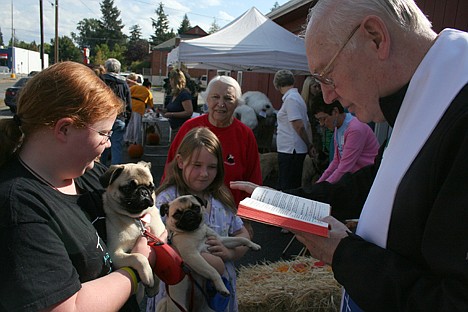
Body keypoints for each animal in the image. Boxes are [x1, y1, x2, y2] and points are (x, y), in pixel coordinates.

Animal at [99, 162, 165, 296]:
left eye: (151, 187)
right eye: (127, 188)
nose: (144, 192)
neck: (137, 219)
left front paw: (154, 287)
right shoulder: (115, 254)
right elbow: (138, 257)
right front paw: (148, 275)